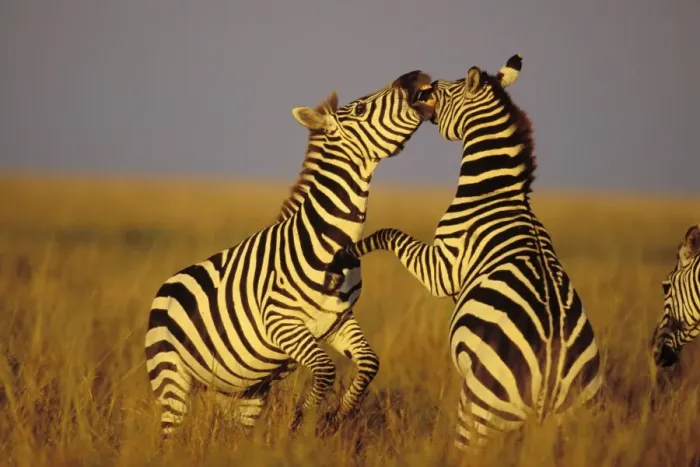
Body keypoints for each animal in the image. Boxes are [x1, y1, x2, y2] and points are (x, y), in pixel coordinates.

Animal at [144, 70, 436, 436]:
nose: (417, 76)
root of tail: (165, 286)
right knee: (170, 432)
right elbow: (325, 370)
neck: (330, 246)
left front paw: (336, 415)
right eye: (361, 109)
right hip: (171, 377)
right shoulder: (281, 323)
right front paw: (300, 421)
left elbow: (369, 363)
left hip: (242, 389)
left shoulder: (338, 320)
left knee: (234, 433)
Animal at [324, 54, 602, 452]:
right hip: (576, 420)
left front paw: (347, 253)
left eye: (445, 89)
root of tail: (551, 372)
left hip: (481, 408)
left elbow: (389, 234)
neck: (497, 193)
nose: (423, 84)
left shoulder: (442, 267)